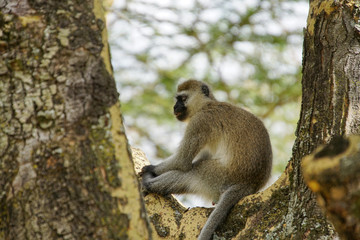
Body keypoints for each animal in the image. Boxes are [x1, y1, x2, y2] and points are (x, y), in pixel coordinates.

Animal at [142, 79, 272, 239]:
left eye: (183, 98)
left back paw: (148, 184)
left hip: (219, 176)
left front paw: (150, 168)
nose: (175, 106)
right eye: (177, 99)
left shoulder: (199, 122)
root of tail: (250, 183)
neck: (206, 105)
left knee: (192, 172)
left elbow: (182, 161)